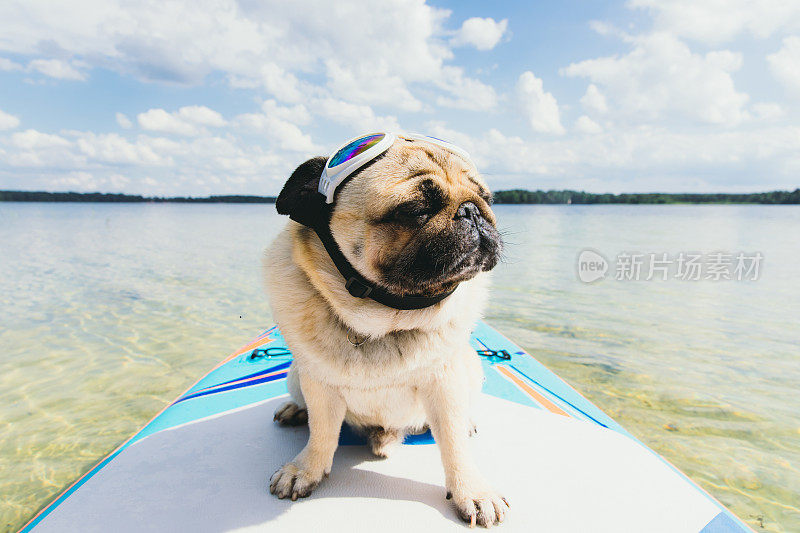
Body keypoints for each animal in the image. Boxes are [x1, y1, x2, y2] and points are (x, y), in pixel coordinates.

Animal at [262, 135, 506, 524]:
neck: (385, 323)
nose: (471, 210)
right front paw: (305, 470)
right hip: (296, 373)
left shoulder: (446, 382)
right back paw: (295, 411)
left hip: (470, 367)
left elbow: (454, 445)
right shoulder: (319, 386)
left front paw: (472, 491)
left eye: (487, 198)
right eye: (415, 209)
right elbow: (322, 434)